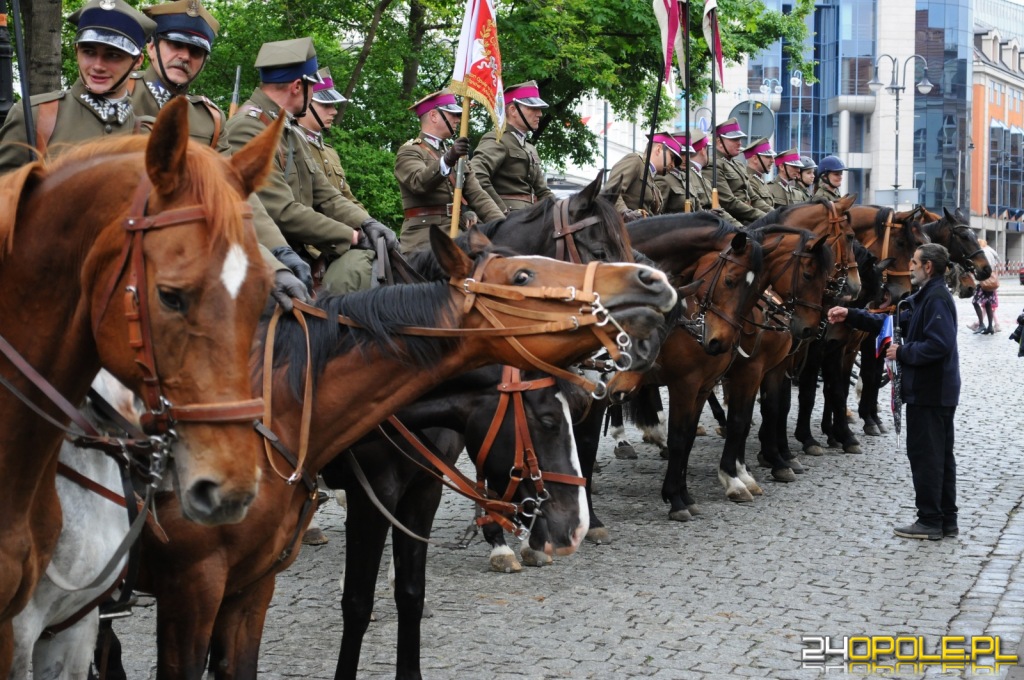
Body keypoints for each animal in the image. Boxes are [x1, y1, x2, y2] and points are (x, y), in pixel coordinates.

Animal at [125, 228, 679, 680]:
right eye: (544, 418)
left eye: (579, 409)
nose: (574, 528)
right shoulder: (372, 498)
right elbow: (357, 602)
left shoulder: (423, 489)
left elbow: (411, 593)